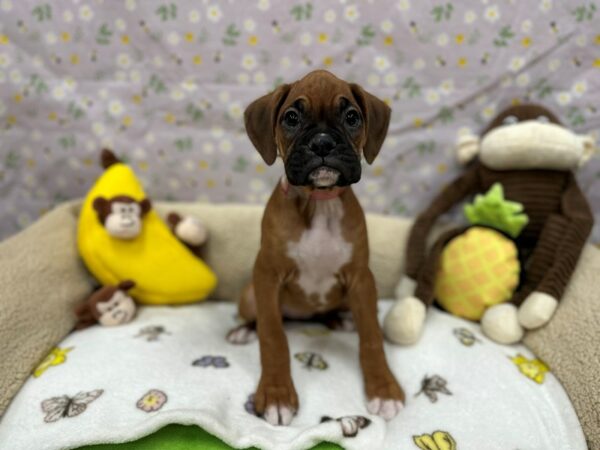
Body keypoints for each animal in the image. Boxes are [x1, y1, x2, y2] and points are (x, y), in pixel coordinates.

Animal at [232, 70, 406, 426]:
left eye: (352, 117)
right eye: (291, 118)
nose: (323, 142)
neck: (319, 202)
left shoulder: (361, 279)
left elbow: (372, 338)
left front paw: (383, 389)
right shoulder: (267, 275)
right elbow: (272, 335)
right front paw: (276, 394)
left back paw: (341, 319)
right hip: (249, 295)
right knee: (260, 318)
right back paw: (243, 331)